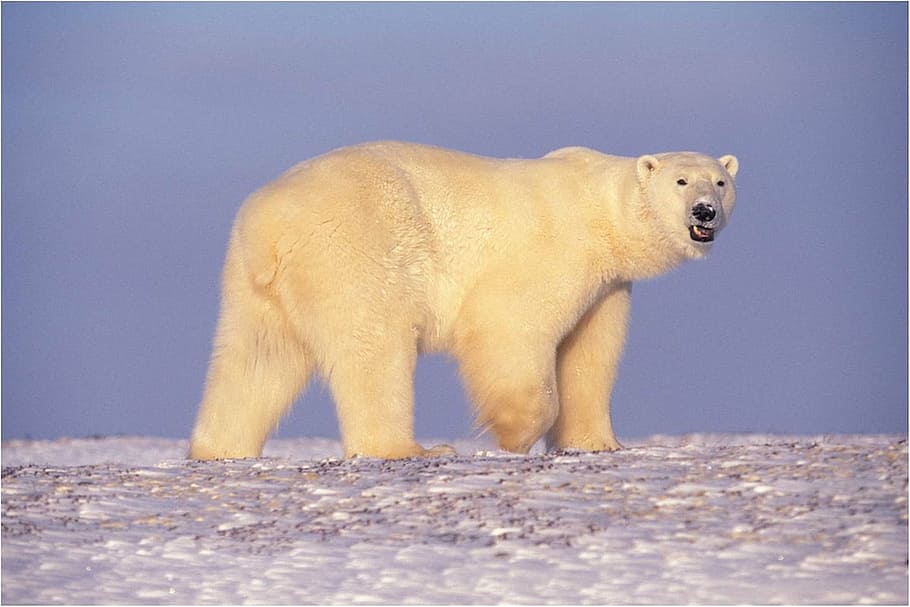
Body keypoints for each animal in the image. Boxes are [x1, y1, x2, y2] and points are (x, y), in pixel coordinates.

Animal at [189, 141, 738, 460]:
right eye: (681, 181)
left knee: (255, 360)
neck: (600, 212)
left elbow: (589, 355)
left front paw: (598, 442)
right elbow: (509, 326)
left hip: (254, 285)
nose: (705, 212)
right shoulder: (552, 249)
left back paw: (219, 449)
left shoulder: (607, 284)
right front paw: (513, 433)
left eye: (721, 181)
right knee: (376, 347)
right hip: (355, 247)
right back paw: (411, 449)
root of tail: (269, 226)